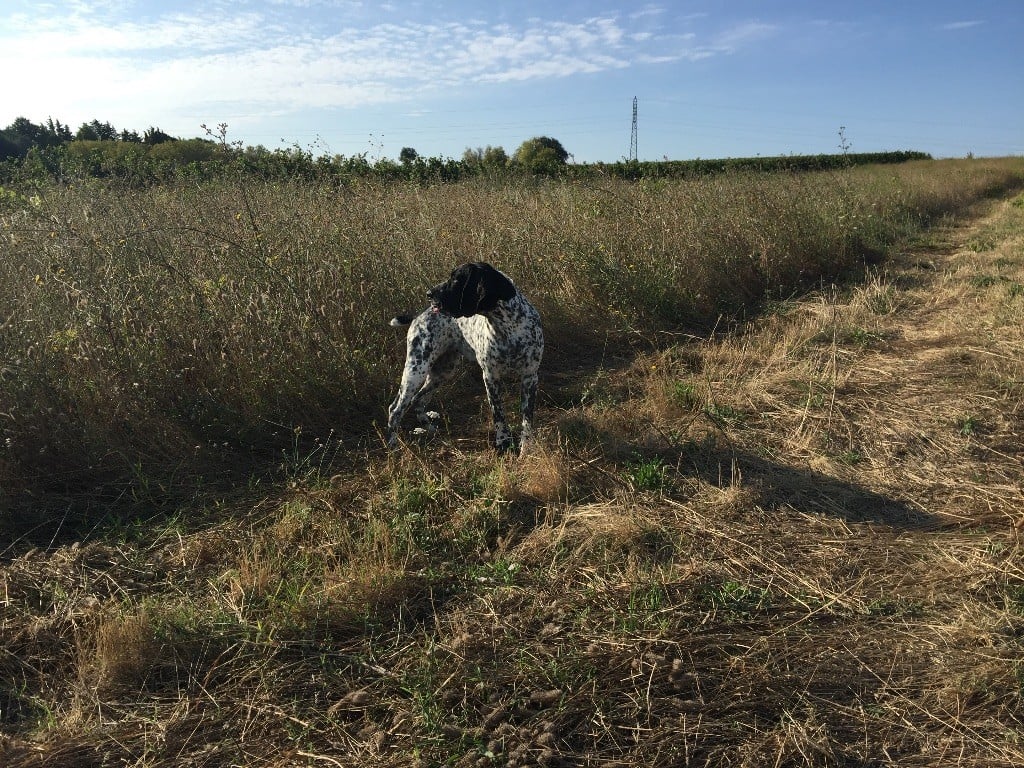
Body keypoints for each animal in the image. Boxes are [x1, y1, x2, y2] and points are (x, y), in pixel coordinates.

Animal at [385, 264, 544, 456]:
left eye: (456, 279)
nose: (429, 293)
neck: (509, 328)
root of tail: (419, 315)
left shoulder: (530, 377)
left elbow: (527, 417)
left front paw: (527, 447)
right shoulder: (490, 377)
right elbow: (498, 414)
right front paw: (503, 443)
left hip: (443, 371)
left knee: (418, 400)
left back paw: (430, 429)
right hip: (416, 370)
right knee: (395, 408)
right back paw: (393, 445)